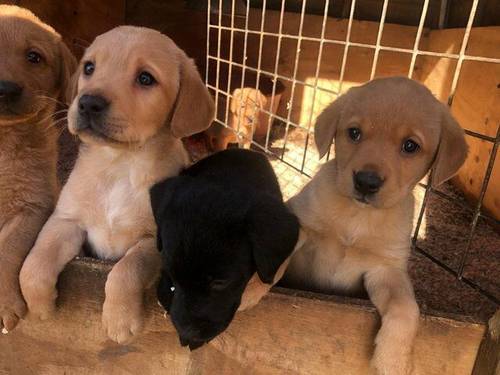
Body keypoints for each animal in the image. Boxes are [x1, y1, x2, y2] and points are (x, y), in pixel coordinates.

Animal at [19, 25, 214, 346]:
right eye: (89, 67)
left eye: (146, 78)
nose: (88, 102)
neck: (118, 166)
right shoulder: (66, 220)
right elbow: (34, 263)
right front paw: (41, 308)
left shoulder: (154, 240)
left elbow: (126, 270)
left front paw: (120, 321)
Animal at [286, 77, 468, 375]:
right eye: (354, 133)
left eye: (410, 146)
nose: (366, 182)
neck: (359, 218)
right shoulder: (301, 223)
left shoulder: (386, 269)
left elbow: (406, 309)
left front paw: (392, 361)